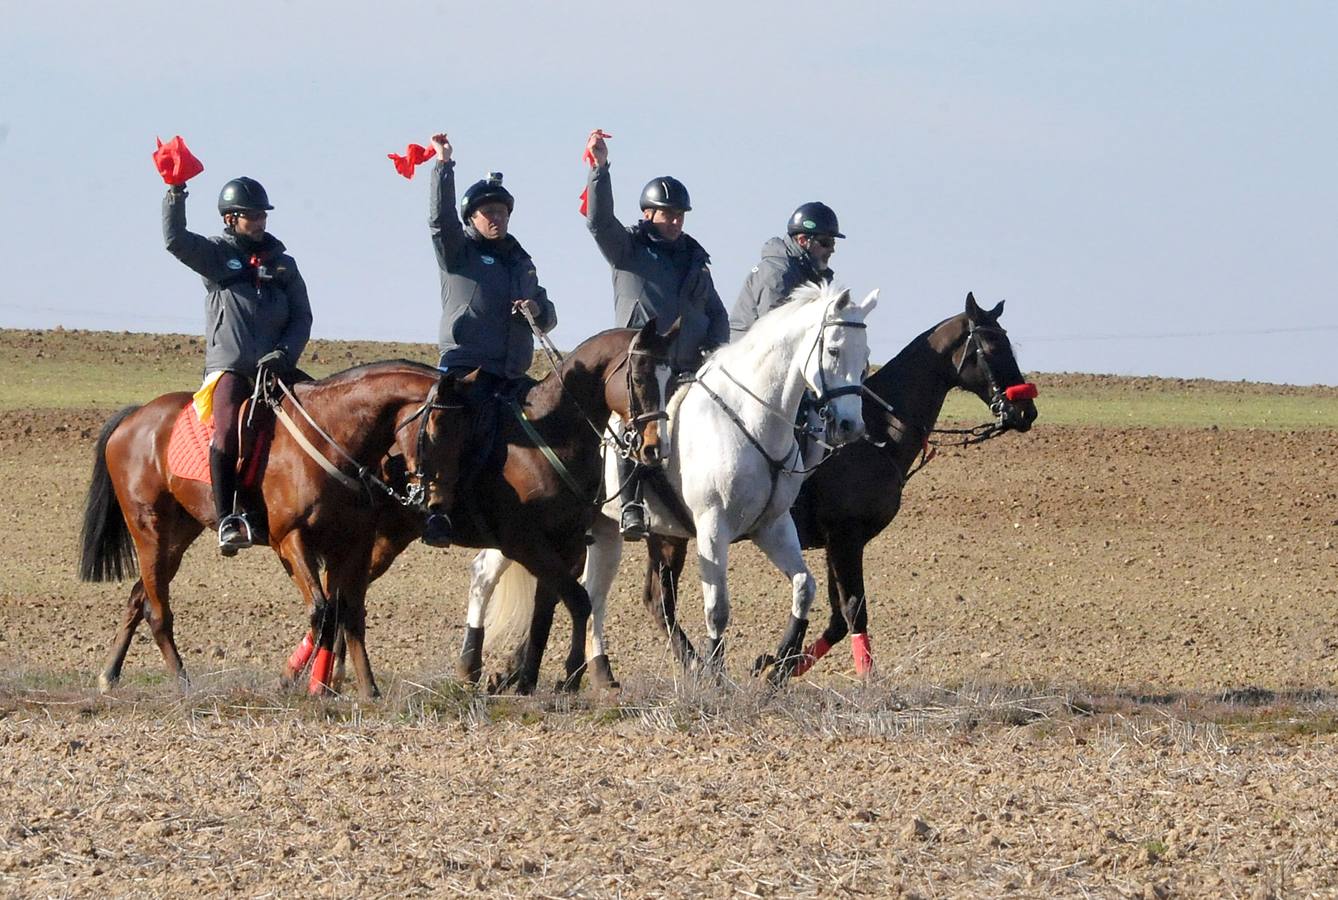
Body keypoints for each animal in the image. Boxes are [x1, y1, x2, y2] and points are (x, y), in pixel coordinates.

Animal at [79, 361, 476, 700]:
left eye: (465, 434)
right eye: (435, 429)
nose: (438, 505)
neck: (333, 439)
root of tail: (135, 417)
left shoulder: (354, 545)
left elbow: (349, 614)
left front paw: (366, 691)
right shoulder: (291, 541)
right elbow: (322, 611)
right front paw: (299, 684)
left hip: (178, 535)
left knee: (139, 597)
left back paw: (109, 674)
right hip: (150, 531)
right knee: (158, 611)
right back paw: (182, 682)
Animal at [287, 323, 674, 695]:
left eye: (670, 379)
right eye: (639, 377)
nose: (655, 448)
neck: (552, 439)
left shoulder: (566, 545)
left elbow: (546, 612)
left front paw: (528, 681)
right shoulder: (525, 544)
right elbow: (577, 601)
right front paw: (568, 677)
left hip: (384, 540)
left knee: (343, 596)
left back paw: (330, 676)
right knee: (341, 597)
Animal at [470, 282, 877, 690]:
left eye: (866, 354)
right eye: (834, 349)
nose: (850, 426)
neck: (748, 420)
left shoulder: (771, 527)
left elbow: (804, 587)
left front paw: (778, 664)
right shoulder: (713, 528)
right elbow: (717, 609)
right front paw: (717, 677)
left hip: (605, 531)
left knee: (595, 594)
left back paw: (598, 673)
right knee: (485, 573)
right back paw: (477, 666)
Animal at [639, 294, 1043, 682]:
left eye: (1009, 344)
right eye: (990, 348)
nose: (1026, 411)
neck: (876, 436)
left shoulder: (841, 542)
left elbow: (835, 618)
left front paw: (778, 666)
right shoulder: (845, 537)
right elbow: (853, 610)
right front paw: (855, 679)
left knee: (656, 601)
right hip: (674, 536)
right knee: (662, 602)